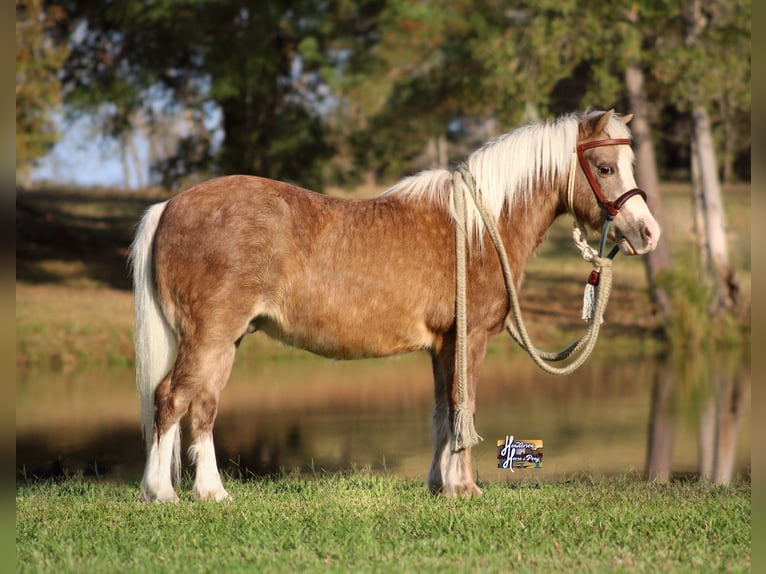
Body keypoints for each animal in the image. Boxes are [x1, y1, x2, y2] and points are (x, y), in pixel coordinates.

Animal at [130, 110, 660, 502]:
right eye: (606, 168)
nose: (648, 232)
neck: (475, 228)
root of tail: (169, 206)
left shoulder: (442, 346)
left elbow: (442, 413)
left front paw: (439, 484)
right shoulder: (468, 339)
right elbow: (463, 407)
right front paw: (465, 488)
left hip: (227, 341)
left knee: (202, 407)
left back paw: (212, 493)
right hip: (209, 336)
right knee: (170, 399)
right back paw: (162, 493)